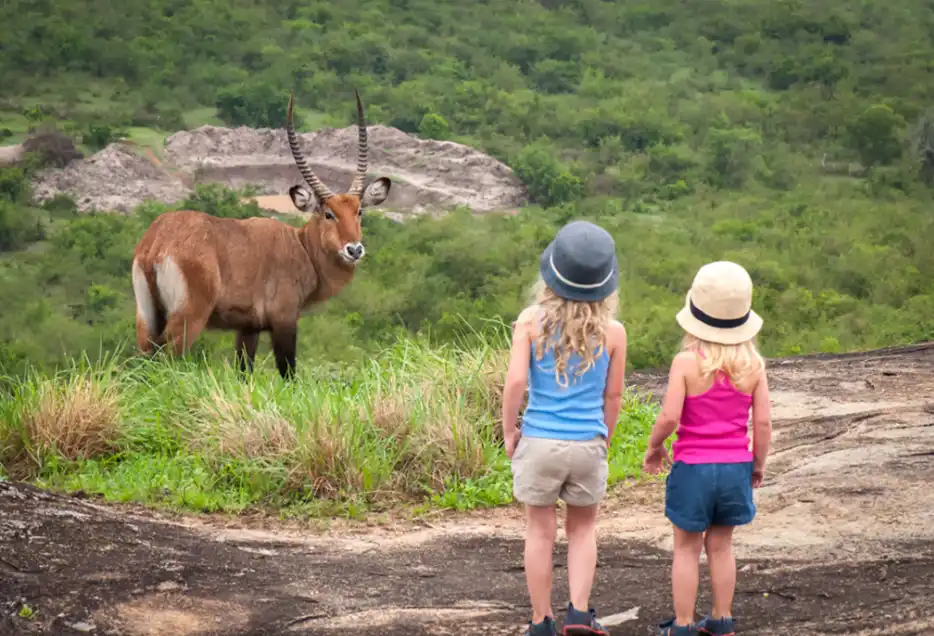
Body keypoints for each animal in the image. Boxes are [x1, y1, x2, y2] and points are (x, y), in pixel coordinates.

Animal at [131, 89, 392, 378]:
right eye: (328, 214)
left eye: (359, 211)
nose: (354, 250)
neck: (301, 246)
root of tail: (156, 243)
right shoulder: (285, 320)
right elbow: (287, 371)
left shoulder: (248, 327)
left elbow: (244, 371)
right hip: (188, 319)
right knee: (169, 358)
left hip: (147, 318)